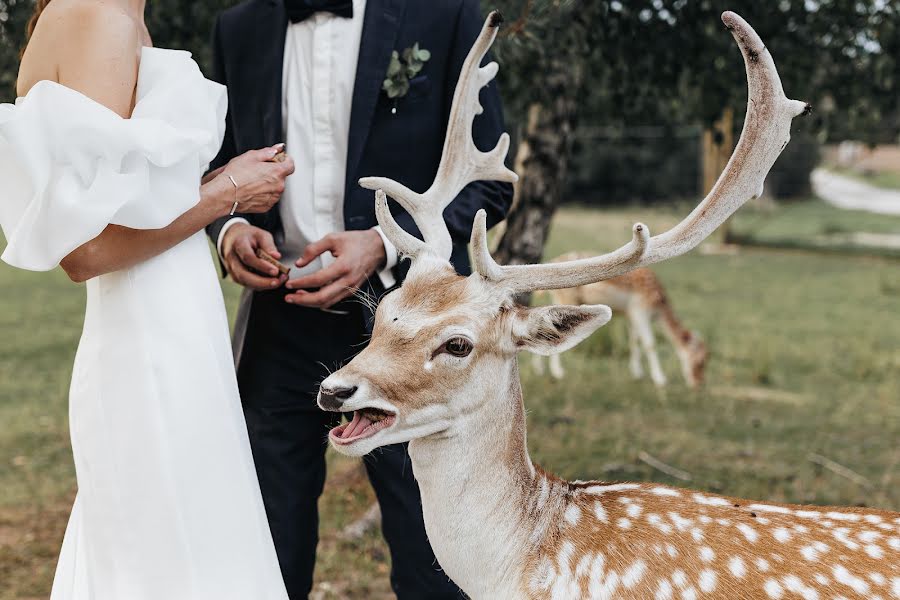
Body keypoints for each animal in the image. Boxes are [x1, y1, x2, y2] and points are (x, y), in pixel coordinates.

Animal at [532, 254, 708, 386]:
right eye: (700, 361)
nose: (698, 384)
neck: (658, 308)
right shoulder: (640, 309)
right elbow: (649, 344)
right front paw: (660, 379)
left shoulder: (630, 314)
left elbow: (634, 341)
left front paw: (637, 373)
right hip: (565, 298)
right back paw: (558, 372)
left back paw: (540, 369)